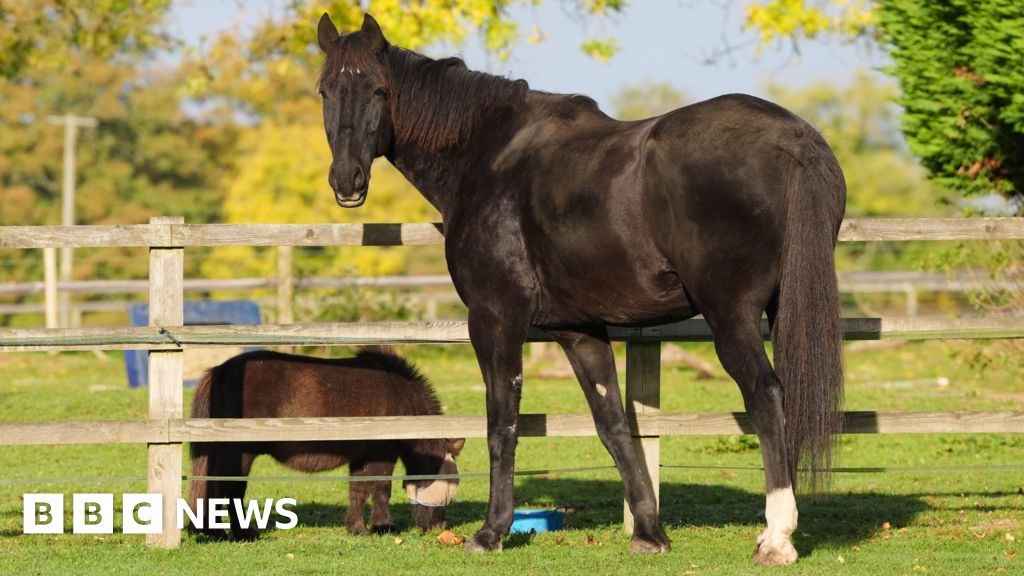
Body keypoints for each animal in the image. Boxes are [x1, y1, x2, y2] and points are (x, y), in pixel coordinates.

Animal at [188, 347, 465, 540]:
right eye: (446, 487)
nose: (439, 528)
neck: (399, 396)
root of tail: (220, 370)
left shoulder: (361, 456)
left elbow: (358, 490)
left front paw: (356, 528)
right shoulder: (382, 454)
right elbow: (380, 488)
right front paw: (384, 526)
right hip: (241, 452)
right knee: (231, 489)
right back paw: (241, 533)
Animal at [315, 13, 846, 565]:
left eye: (379, 90)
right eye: (325, 90)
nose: (347, 180)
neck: (487, 157)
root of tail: (793, 140)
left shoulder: (494, 319)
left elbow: (502, 423)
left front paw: (491, 532)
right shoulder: (579, 330)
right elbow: (612, 424)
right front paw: (648, 533)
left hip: (732, 315)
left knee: (765, 397)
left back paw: (777, 537)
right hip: (782, 310)